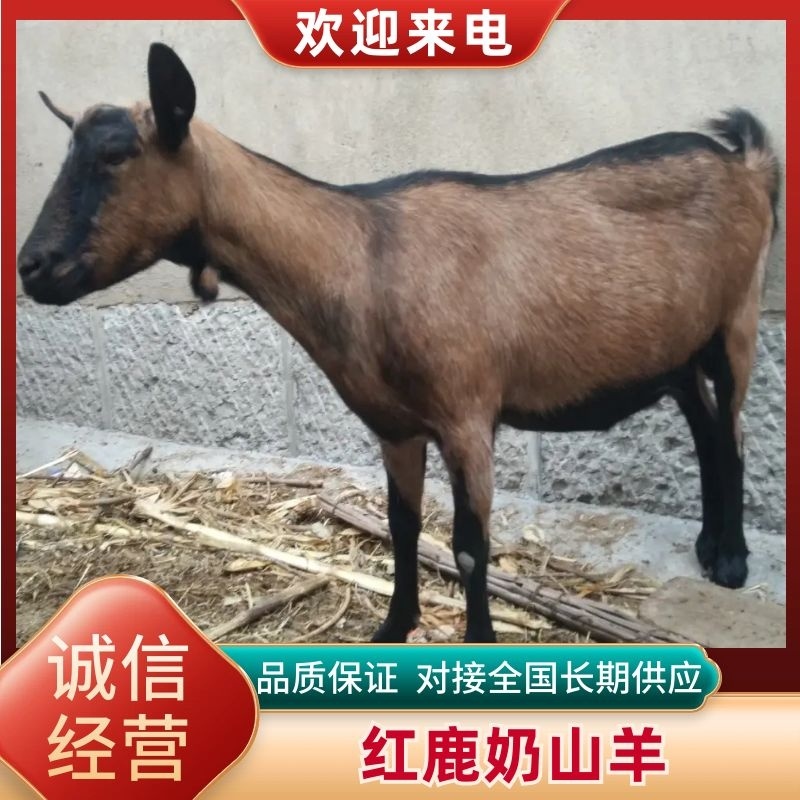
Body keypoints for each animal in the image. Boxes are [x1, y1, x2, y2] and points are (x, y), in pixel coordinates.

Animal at [18, 43, 780, 642]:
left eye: (117, 155)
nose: (31, 267)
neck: (363, 258)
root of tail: (744, 160)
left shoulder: (467, 414)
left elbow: (470, 547)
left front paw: (480, 646)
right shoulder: (394, 424)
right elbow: (402, 525)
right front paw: (393, 627)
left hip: (736, 318)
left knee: (735, 429)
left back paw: (733, 560)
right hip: (675, 346)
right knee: (706, 428)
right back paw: (709, 545)